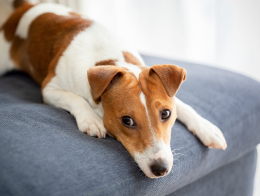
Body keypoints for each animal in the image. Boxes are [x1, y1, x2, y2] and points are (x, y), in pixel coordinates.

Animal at [0, 0, 226, 178]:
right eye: (127, 120)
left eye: (166, 114)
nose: (161, 169)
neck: (109, 60)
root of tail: (27, 6)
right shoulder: (49, 89)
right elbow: (77, 99)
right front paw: (91, 120)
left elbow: (185, 106)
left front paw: (207, 128)